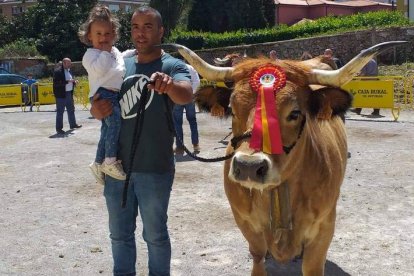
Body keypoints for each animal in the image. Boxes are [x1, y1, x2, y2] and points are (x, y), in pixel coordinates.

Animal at [169, 41, 408, 276]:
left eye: (294, 113)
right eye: (233, 110)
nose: (248, 166)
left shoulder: (324, 226)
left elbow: (312, 267)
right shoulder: (244, 220)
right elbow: (257, 256)